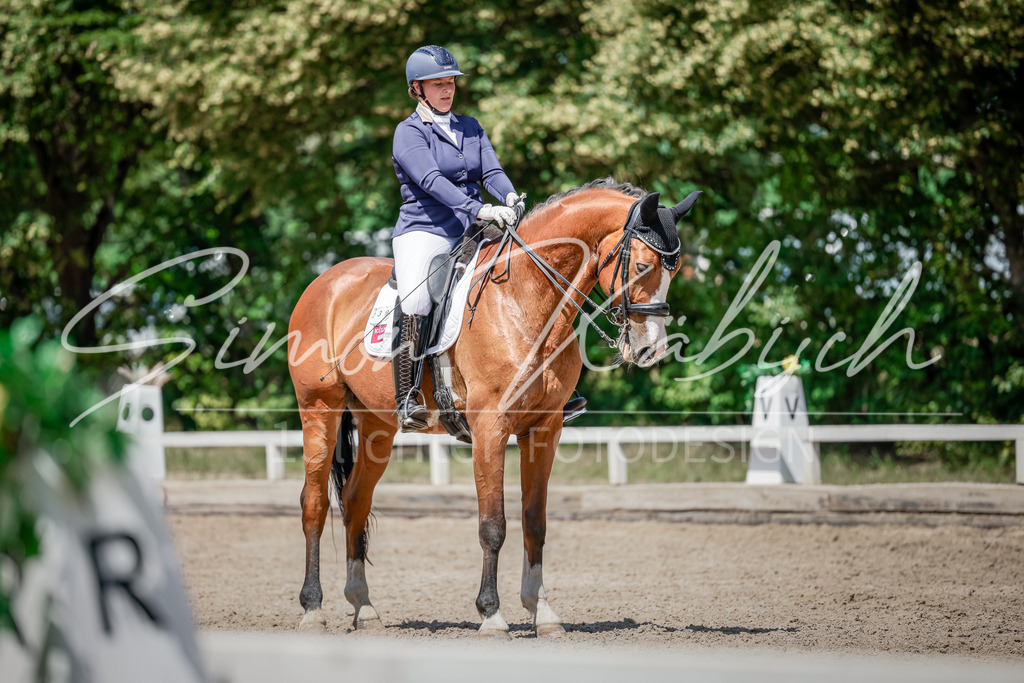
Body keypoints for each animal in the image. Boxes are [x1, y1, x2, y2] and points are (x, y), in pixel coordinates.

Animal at [286, 178, 700, 638]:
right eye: (643, 266)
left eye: (674, 270)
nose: (650, 350)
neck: (525, 297)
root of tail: (326, 280)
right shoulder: (490, 428)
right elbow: (493, 524)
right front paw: (491, 614)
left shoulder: (544, 430)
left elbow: (534, 521)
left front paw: (543, 613)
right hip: (319, 410)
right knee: (315, 503)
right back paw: (312, 608)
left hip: (377, 424)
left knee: (356, 501)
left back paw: (365, 607)